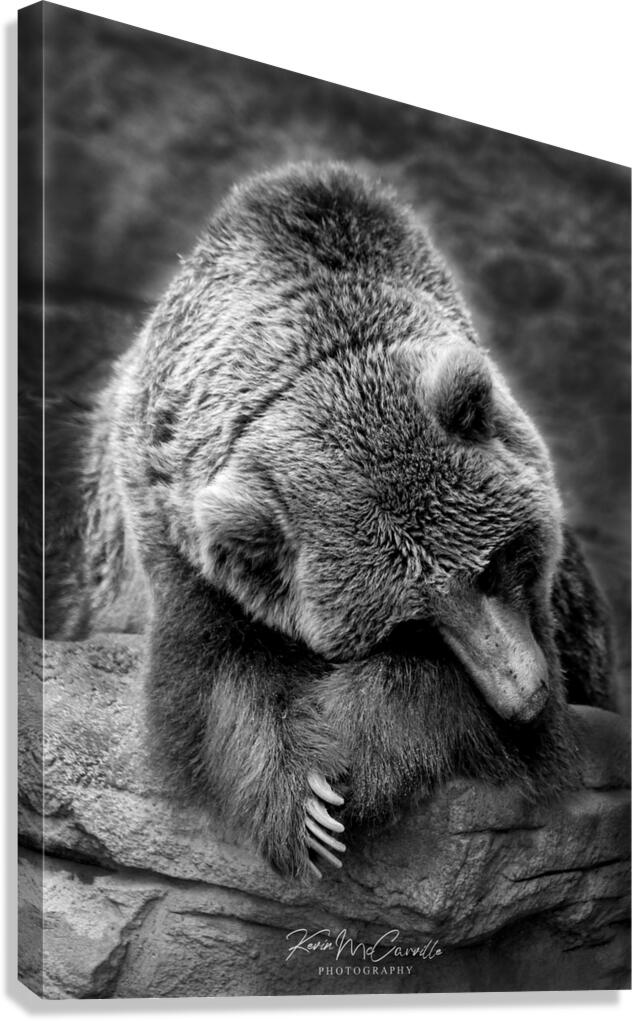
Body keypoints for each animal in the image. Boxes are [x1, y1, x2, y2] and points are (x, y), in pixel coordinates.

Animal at [80, 161, 614, 880]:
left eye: (494, 563)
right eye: (410, 624)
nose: (522, 695)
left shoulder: (541, 620)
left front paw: (353, 764)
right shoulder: (179, 538)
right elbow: (211, 675)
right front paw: (305, 803)